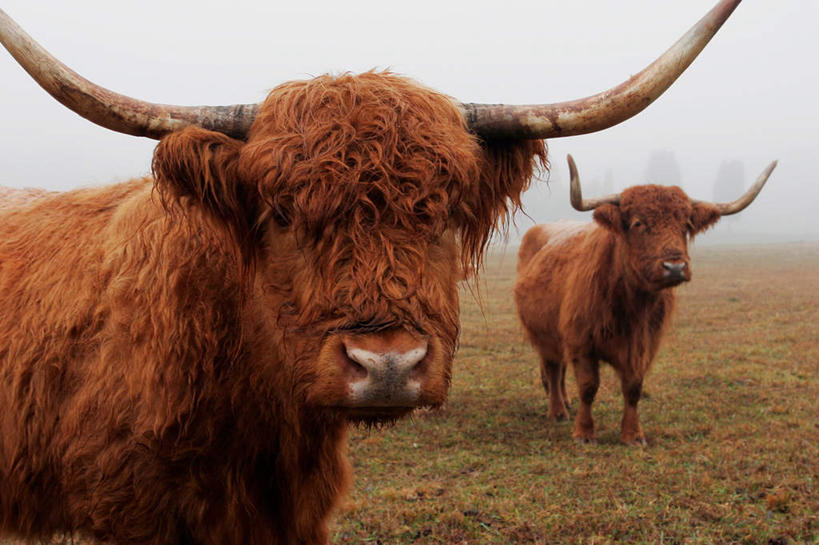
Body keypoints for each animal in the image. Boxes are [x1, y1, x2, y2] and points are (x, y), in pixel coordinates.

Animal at [516, 155, 780, 444]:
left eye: (686, 225)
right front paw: (584, 433)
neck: (631, 307)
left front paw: (633, 435)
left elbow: (633, 388)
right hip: (543, 334)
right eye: (638, 223)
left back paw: (565, 403)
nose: (674, 267)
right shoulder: (580, 340)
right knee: (553, 370)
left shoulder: (643, 345)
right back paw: (558, 411)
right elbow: (588, 387)